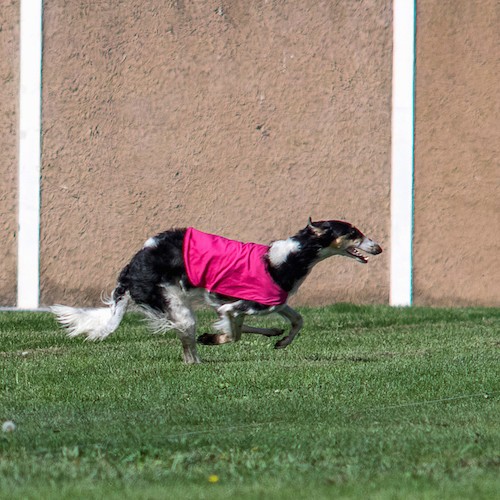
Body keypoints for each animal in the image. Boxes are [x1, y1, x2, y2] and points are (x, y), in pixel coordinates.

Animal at [52, 219, 382, 364]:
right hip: (177, 307)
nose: (378, 248)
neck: (287, 257)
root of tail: (132, 266)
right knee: (188, 349)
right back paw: (198, 359)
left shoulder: (270, 302)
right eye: (353, 233)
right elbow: (233, 332)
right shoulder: (233, 305)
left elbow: (297, 319)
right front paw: (215, 338)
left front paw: (281, 339)